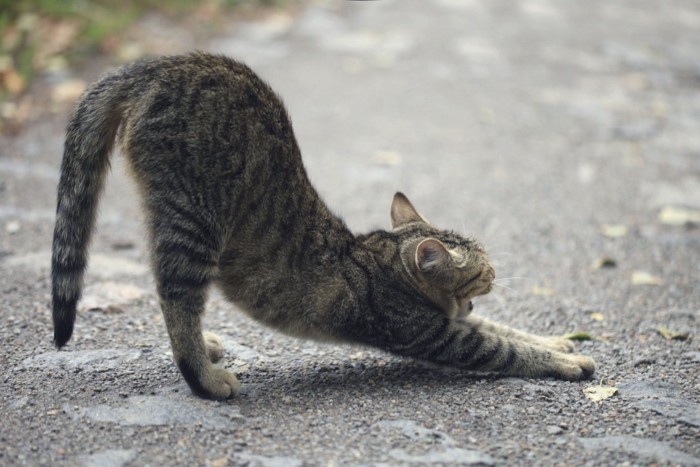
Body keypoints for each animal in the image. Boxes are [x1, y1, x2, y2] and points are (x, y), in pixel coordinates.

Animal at [52, 52, 592, 402]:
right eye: (482, 269)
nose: (496, 273)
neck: (382, 260)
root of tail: (153, 66)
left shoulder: (455, 319)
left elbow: (507, 329)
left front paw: (557, 341)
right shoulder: (431, 333)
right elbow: (503, 348)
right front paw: (565, 362)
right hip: (193, 221)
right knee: (176, 298)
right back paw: (204, 377)